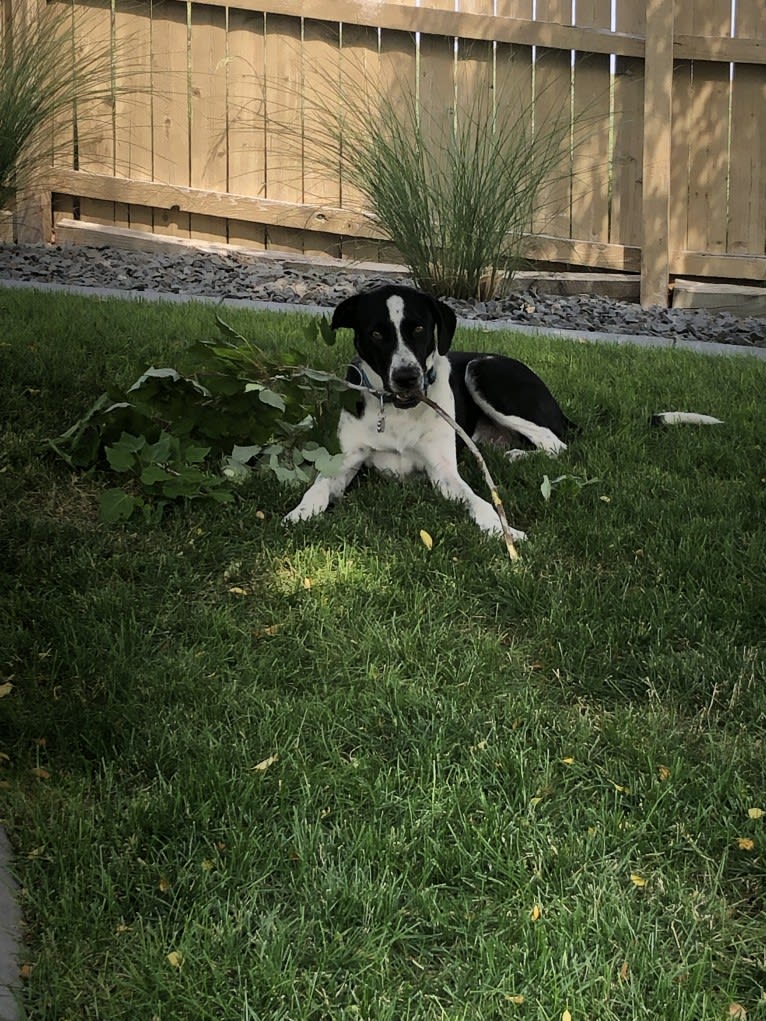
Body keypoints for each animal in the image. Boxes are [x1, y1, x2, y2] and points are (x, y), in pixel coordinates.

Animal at [283, 285, 576, 543]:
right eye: (376, 333)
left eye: (419, 328)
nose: (407, 377)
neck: (395, 410)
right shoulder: (345, 461)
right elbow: (318, 487)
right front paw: (299, 513)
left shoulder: (442, 471)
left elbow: (479, 501)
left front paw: (502, 529)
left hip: (482, 371)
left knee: (555, 443)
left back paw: (519, 455)